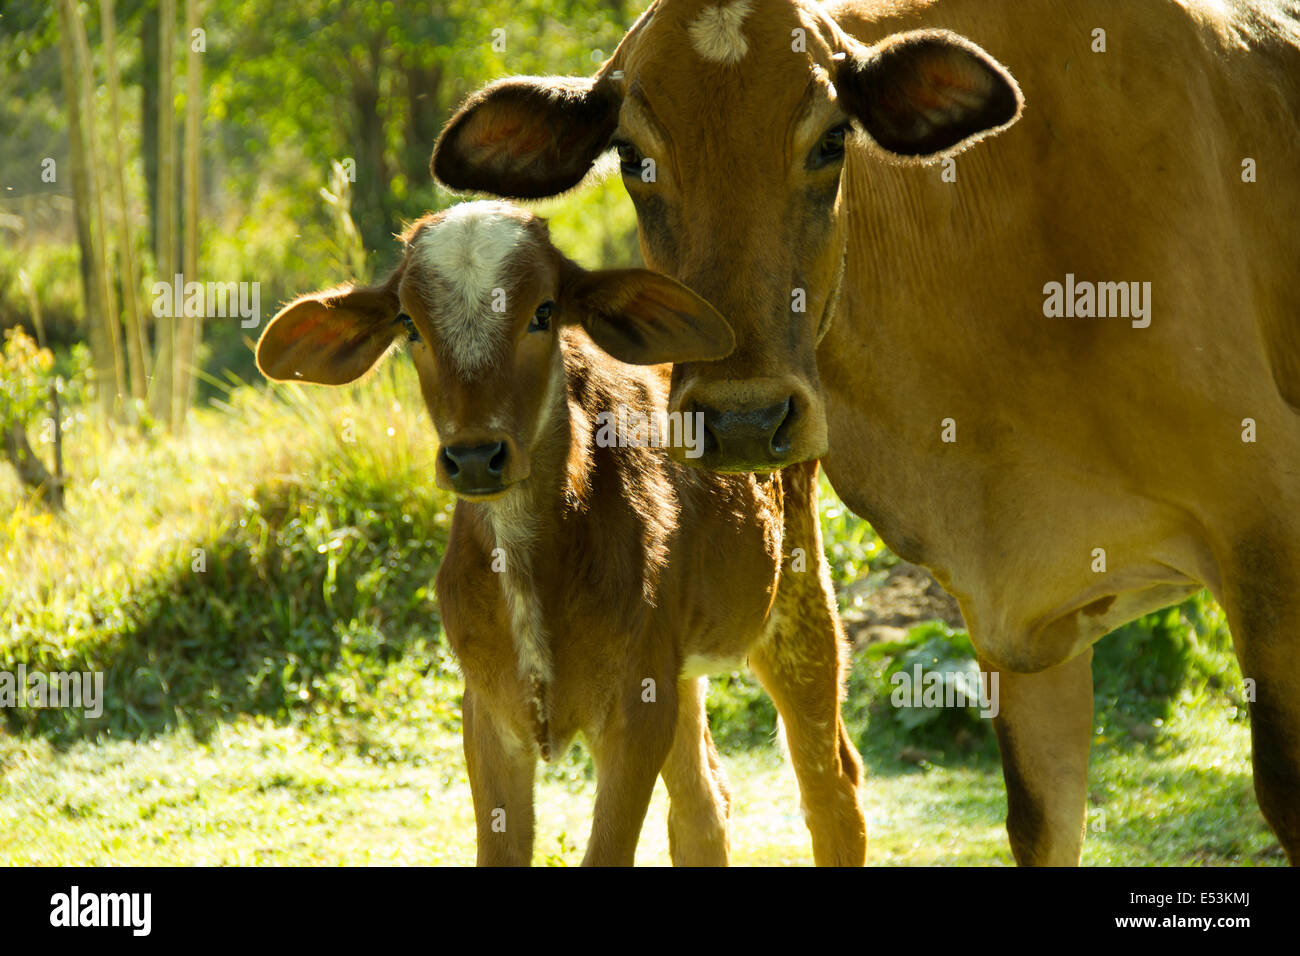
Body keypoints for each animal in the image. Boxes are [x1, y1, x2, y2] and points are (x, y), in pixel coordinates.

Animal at [253, 201, 863, 868]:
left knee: (832, 789)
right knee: (703, 806)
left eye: (543, 312)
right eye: (409, 324)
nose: (475, 457)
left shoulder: (634, 710)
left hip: (797, 601)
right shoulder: (489, 709)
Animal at [434, 0, 1300, 863]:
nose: (743, 420)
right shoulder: (1020, 618)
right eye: (633, 156)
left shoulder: (1265, 540)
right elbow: (1044, 818)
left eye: (830, 139)